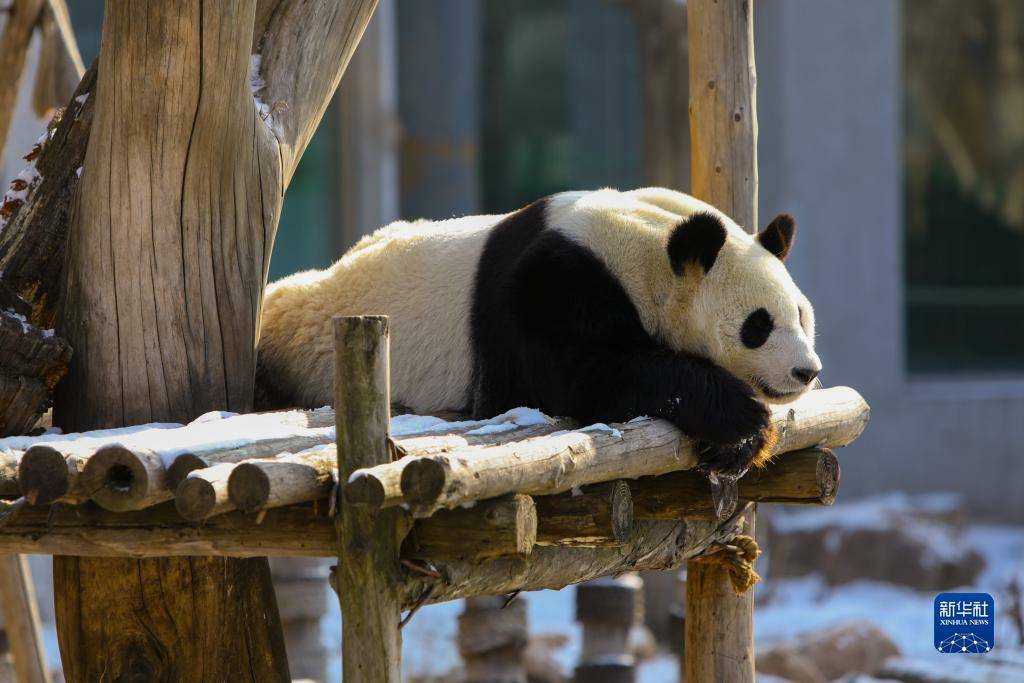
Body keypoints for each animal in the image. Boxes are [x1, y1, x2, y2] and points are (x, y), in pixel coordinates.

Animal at [260, 185, 819, 475]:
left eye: (801, 315)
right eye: (758, 325)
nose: (806, 371)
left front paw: (734, 445)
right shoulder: (551, 287)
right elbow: (583, 375)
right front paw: (740, 419)